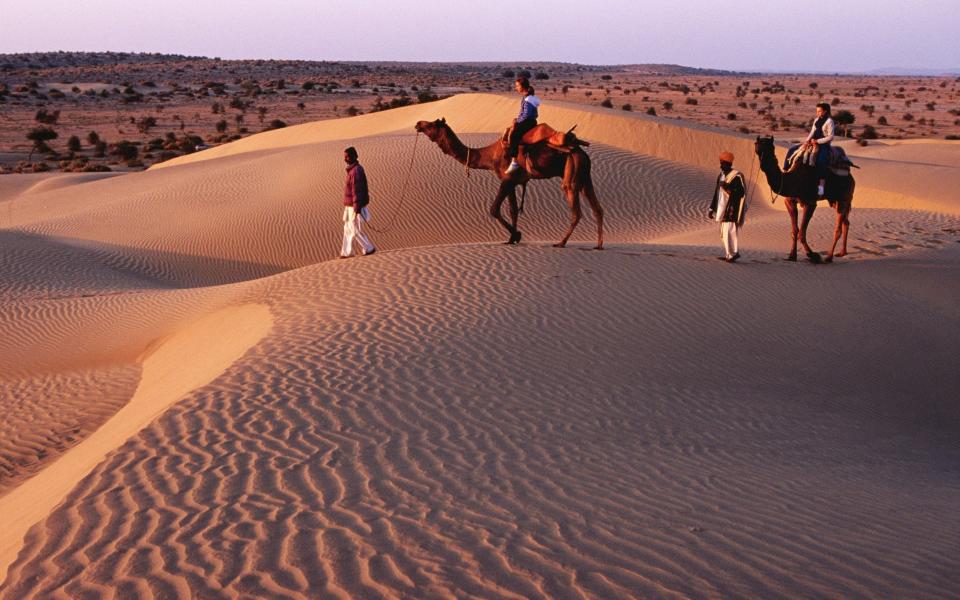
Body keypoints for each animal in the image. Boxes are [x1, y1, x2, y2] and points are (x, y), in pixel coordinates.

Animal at [410, 117, 600, 248]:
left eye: (432, 124)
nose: (418, 123)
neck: (488, 156)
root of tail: (581, 151)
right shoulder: (514, 181)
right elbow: (513, 210)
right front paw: (511, 239)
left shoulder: (507, 178)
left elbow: (494, 209)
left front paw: (516, 235)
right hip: (585, 176)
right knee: (597, 207)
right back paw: (598, 245)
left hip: (572, 173)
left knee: (576, 211)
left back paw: (561, 243)